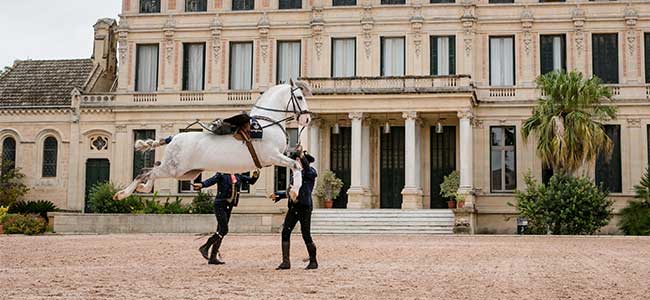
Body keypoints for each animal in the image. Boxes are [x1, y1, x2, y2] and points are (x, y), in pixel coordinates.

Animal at [114, 79, 312, 202]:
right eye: (300, 97)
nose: (307, 119)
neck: (266, 124)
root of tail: (173, 138)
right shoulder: (272, 156)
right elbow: (296, 165)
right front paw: (295, 191)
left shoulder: (281, 154)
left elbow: (296, 163)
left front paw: (293, 189)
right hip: (174, 168)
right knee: (145, 172)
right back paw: (123, 194)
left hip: (186, 173)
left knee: (151, 171)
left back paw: (141, 189)